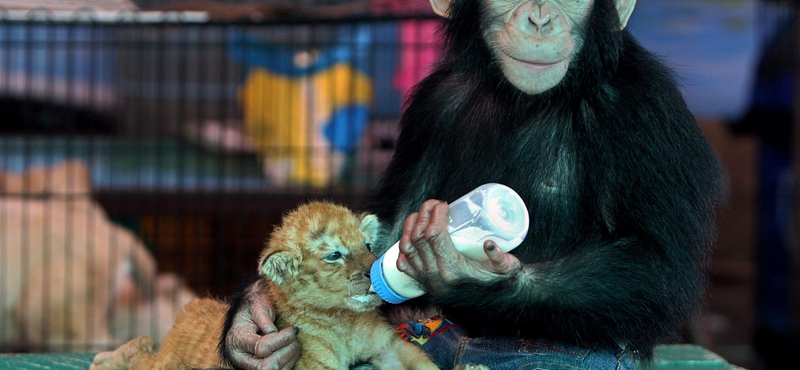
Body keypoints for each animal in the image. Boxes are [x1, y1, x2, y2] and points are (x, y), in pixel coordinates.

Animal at [220, 0, 724, 368]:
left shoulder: (645, 112)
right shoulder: (432, 102)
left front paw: (466, 274)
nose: (539, 19)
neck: (522, 98)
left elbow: (655, 263)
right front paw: (252, 322)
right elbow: (395, 214)